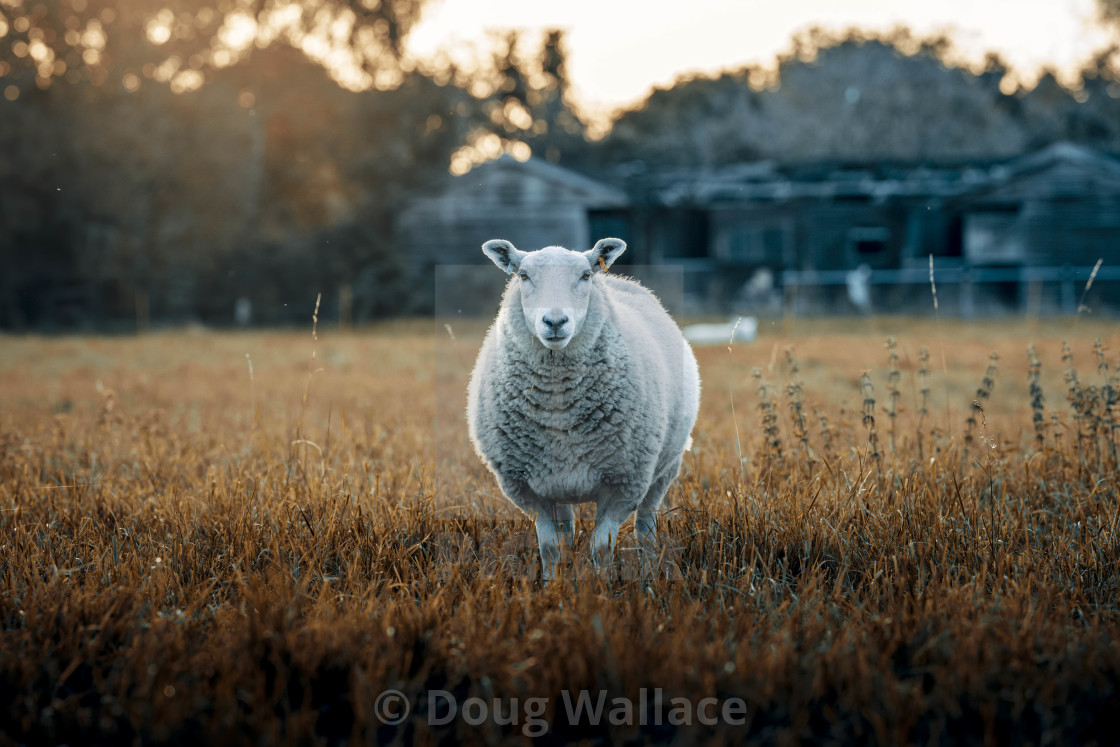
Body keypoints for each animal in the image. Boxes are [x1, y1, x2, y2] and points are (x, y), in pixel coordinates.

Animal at [465, 236, 698, 582]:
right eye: (523, 276)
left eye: (585, 276)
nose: (555, 322)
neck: (557, 404)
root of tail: (621, 280)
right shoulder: (528, 489)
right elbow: (549, 548)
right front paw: (552, 588)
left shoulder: (624, 483)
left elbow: (601, 548)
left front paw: (601, 589)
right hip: (556, 480)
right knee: (567, 530)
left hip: (665, 467)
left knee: (645, 528)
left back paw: (647, 575)